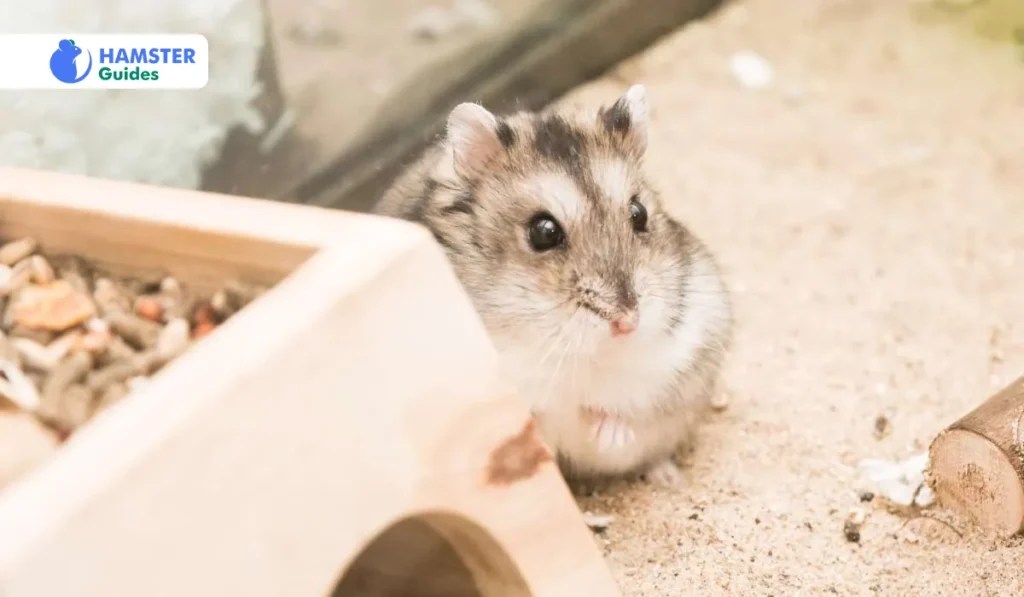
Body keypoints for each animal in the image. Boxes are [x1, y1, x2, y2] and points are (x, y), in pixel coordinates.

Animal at [373, 84, 733, 485]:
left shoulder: (689, 346)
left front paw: (606, 434)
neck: (576, 352)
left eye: (639, 214)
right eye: (543, 232)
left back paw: (668, 477)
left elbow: (628, 410)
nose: (628, 323)